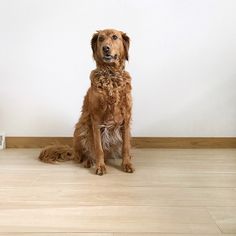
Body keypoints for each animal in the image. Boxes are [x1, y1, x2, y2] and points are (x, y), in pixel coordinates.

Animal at [39, 28, 135, 174]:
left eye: (115, 37)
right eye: (101, 38)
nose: (105, 48)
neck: (110, 75)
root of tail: (73, 151)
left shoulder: (126, 118)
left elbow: (126, 147)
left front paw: (127, 164)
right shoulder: (96, 119)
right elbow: (98, 148)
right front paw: (100, 167)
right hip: (82, 126)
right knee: (83, 155)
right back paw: (89, 162)